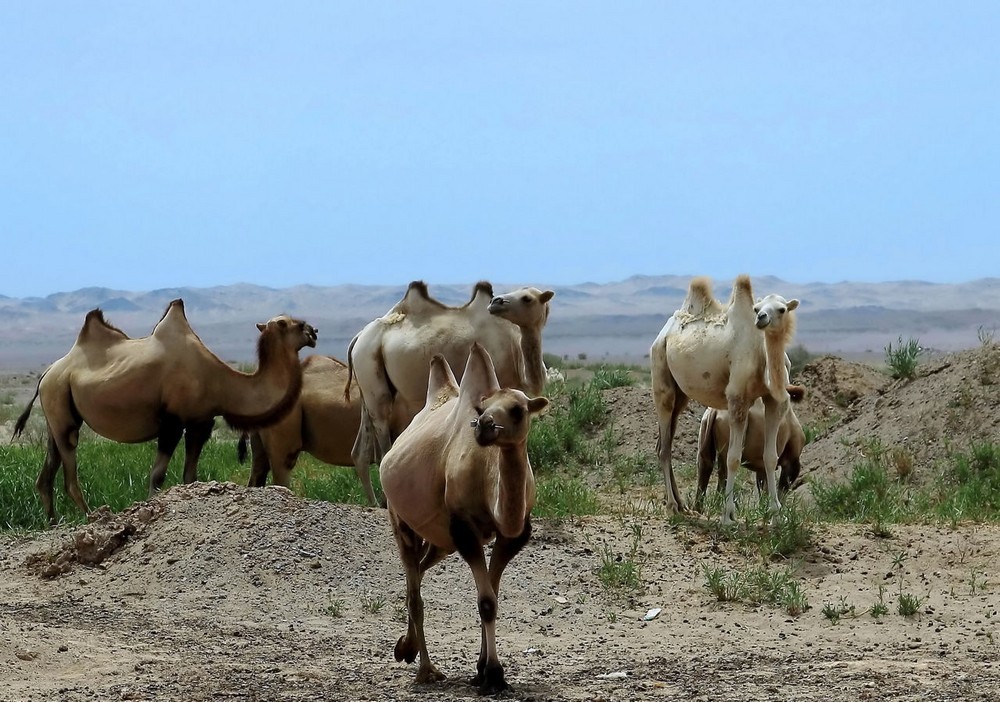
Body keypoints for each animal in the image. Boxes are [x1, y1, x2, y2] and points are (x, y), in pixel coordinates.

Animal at [13, 300, 318, 524]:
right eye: (288, 323)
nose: (314, 331)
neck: (219, 381)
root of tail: (48, 373)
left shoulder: (200, 423)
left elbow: (189, 475)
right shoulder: (172, 422)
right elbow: (157, 475)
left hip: (58, 412)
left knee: (47, 472)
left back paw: (52, 522)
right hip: (59, 399)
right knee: (69, 471)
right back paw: (92, 517)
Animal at [348, 280, 556, 472]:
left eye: (527, 298)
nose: (496, 302)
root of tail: (358, 337)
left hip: (367, 386)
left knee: (360, 451)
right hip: (371, 373)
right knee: (383, 440)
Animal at [378, 344, 548, 696]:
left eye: (517, 410)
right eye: (482, 407)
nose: (483, 425)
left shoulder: (511, 535)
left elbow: (491, 597)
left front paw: (482, 671)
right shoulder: (465, 528)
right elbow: (486, 602)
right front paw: (493, 675)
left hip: (441, 540)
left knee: (419, 571)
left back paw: (406, 647)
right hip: (401, 519)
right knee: (414, 587)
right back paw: (426, 670)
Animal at [648, 274, 804, 524]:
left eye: (782, 309)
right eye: (757, 308)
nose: (761, 318)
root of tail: (664, 332)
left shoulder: (775, 403)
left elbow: (770, 457)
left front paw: (776, 516)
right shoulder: (737, 399)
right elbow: (732, 458)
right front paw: (728, 516)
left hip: (681, 395)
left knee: (664, 440)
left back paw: (683, 506)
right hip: (661, 372)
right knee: (665, 446)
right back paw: (672, 507)